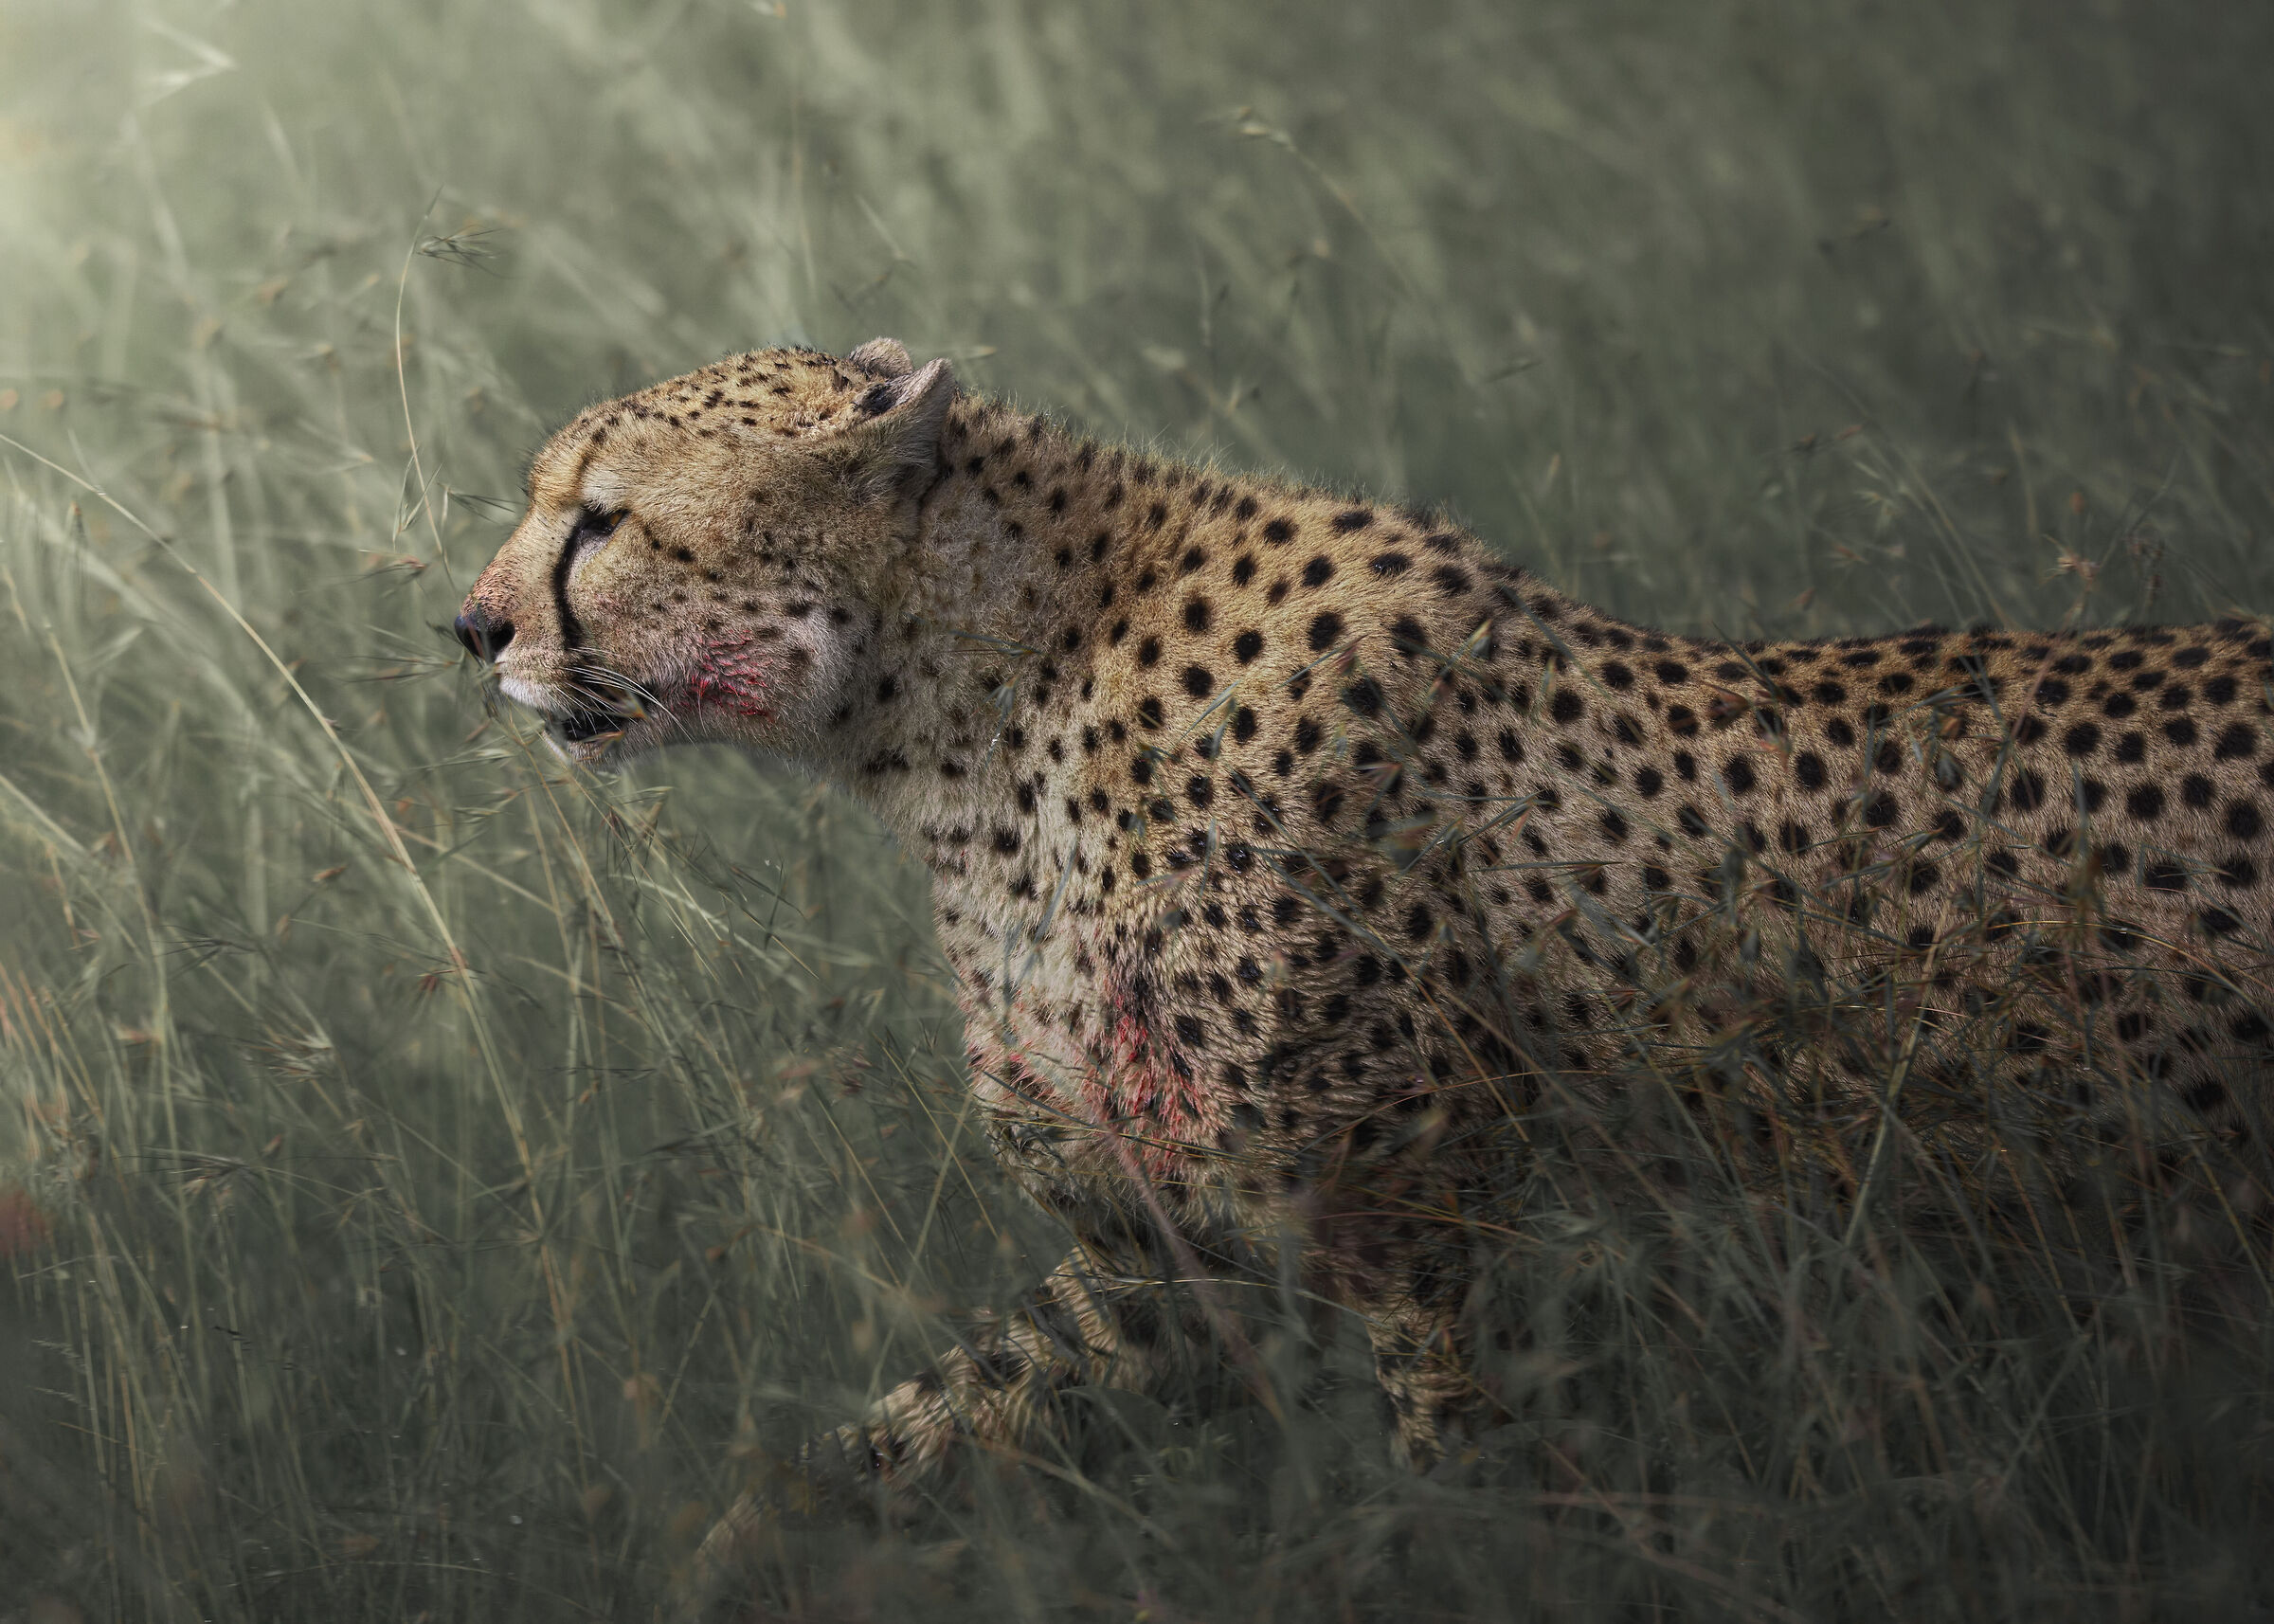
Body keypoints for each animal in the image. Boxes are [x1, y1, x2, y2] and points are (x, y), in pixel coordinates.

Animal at [456, 337, 2273, 1601]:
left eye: (600, 519)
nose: (469, 629)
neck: (965, 717)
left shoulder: (1439, 1232)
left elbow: (1468, 1504)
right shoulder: (1155, 1255)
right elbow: (902, 1433)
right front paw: (705, 1563)